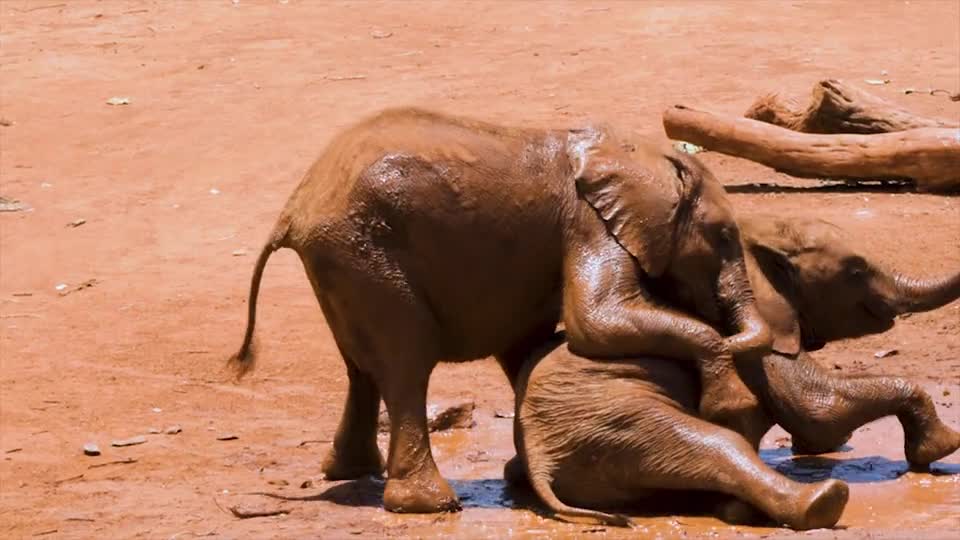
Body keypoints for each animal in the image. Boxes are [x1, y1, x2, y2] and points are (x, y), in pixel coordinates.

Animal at [227, 107, 772, 512]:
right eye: (724, 235)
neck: (643, 152)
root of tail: (295, 208)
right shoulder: (587, 223)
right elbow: (595, 322)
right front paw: (730, 405)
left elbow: (527, 344)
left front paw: (522, 475)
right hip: (364, 251)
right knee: (407, 362)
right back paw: (431, 504)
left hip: (342, 260)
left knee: (361, 366)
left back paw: (352, 471)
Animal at [506, 214, 956, 528]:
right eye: (857, 270)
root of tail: (541, 461)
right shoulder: (757, 339)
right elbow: (819, 412)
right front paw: (943, 447)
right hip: (612, 417)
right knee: (717, 444)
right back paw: (819, 502)